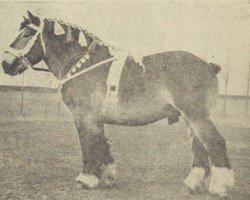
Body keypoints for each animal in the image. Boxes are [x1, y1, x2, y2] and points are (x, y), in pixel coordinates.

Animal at [1, 10, 234, 197]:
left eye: (26, 34)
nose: (5, 63)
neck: (83, 64)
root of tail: (209, 66)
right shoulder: (96, 119)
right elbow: (102, 144)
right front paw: (107, 177)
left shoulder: (84, 117)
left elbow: (88, 144)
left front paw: (86, 179)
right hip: (190, 119)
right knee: (200, 148)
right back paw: (193, 184)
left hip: (197, 116)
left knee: (216, 143)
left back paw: (220, 187)